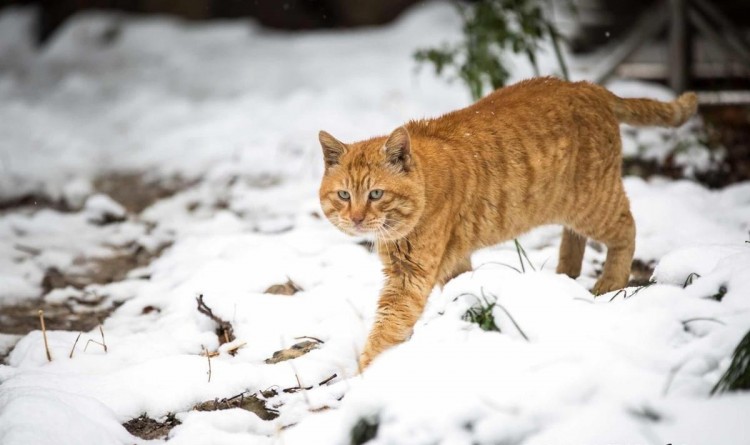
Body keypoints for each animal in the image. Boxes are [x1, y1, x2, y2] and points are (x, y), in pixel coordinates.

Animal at [318, 77, 700, 368]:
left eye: (376, 194)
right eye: (344, 195)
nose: (356, 218)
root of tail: (589, 86)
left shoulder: (409, 276)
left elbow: (387, 328)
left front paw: (368, 375)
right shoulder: (451, 259)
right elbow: (459, 287)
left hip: (593, 204)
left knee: (627, 227)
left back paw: (609, 282)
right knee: (575, 240)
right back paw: (564, 277)